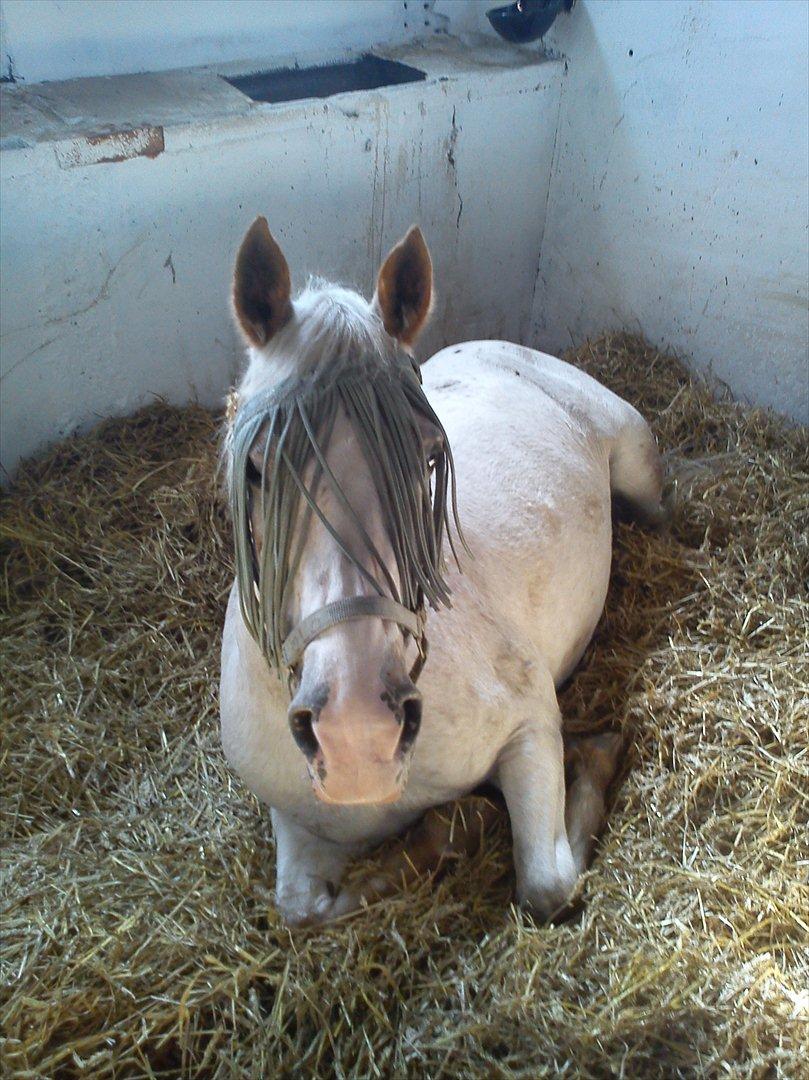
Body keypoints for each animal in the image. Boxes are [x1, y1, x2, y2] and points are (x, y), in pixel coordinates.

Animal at [220, 218, 667, 926]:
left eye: (430, 459)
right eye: (258, 469)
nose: (357, 734)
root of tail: (501, 345)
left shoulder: (531, 727)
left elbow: (547, 886)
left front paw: (593, 757)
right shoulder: (294, 817)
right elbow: (302, 908)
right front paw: (451, 830)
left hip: (641, 473)